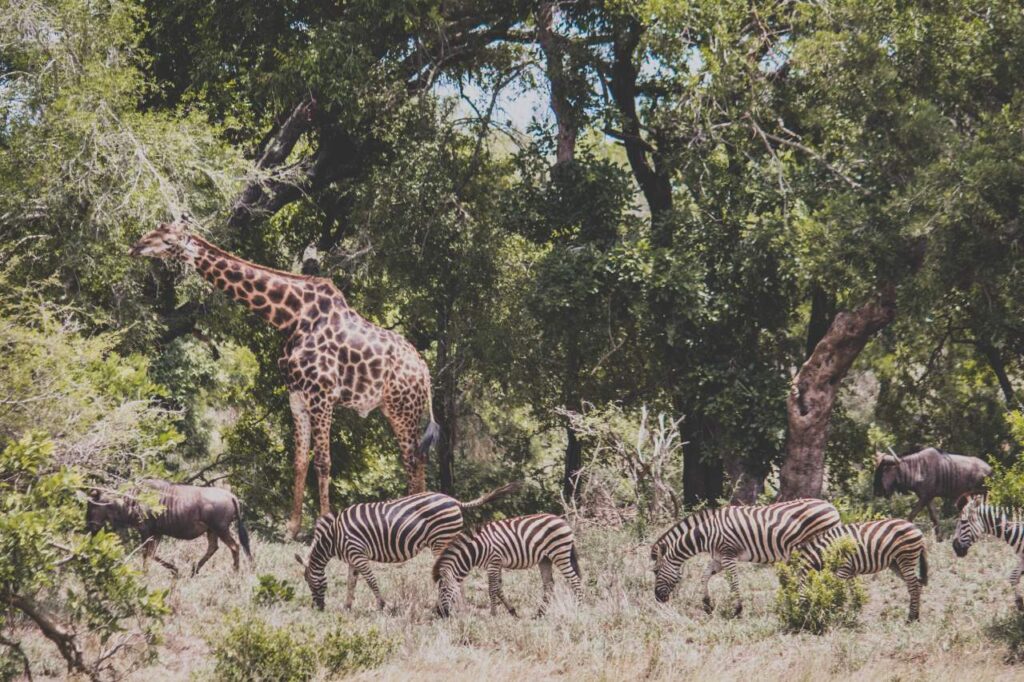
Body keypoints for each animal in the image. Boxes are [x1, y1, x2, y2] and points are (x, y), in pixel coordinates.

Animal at [130, 220, 438, 532]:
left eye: (169, 240)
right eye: (155, 229)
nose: (136, 247)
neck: (290, 317)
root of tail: (425, 372)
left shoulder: (322, 395)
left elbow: (323, 461)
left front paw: (324, 522)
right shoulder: (297, 395)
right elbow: (300, 460)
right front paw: (292, 527)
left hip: (403, 409)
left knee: (413, 460)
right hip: (396, 409)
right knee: (417, 458)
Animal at [294, 481, 520, 606]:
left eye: (309, 582)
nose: (318, 608)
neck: (334, 537)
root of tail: (455, 501)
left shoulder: (357, 553)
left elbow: (371, 580)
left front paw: (382, 605)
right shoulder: (353, 558)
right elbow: (351, 583)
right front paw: (347, 607)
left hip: (441, 540)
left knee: (451, 573)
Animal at [428, 509, 581, 614]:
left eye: (443, 589)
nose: (440, 613)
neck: (477, 549)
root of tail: (563, 521)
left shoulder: (493, 562)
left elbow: (492, 589)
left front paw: (493, 614)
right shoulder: (497, 564)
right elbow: (499, 589)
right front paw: (512, 611)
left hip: (559, 554)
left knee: (574, 579)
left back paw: (578, 607)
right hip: (545, 559)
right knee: (549, 585)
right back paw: (539, 614)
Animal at [647, 497, 839, 614]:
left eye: (656, 571)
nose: (658, 599)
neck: (706, 533)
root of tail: (832, 508)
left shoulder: (728, 555)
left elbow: (733, 581)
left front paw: (737, 609)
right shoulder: (718, 558)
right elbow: (704, 576)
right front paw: (707, 604)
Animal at [790, 518, 929, 618]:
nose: (800, 619)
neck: (827, 551)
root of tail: (916, 527)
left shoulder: (844, 567)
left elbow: (835, 589)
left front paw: (833, 610)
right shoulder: (850, 571)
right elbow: (852, 590)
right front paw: (854, 609)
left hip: (906, 557)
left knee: (913, 586)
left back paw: (911, 618)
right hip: (895, 563)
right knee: (917, 584)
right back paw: (916, 615)